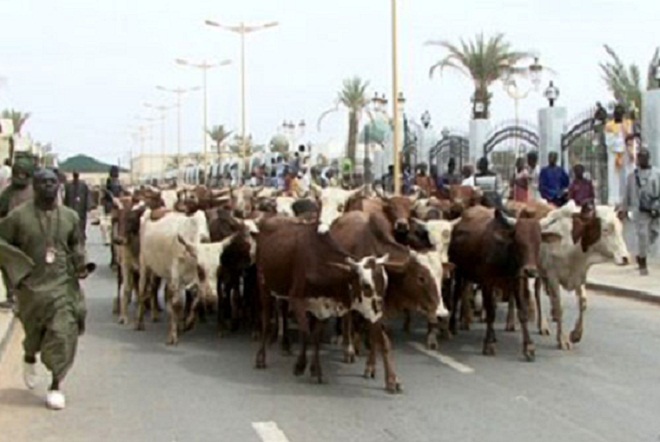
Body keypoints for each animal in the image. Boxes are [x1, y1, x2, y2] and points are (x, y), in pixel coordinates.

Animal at [540, 202, 632, 350]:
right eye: (605, 230)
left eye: (620, 229)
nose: (625, 258)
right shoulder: (553, 276)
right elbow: (560, 307)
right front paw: (562, 339)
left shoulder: (580, 276)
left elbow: (583, 303)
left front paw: (576, 334)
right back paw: (542, 324)